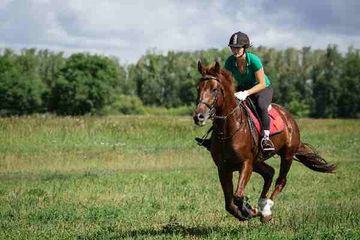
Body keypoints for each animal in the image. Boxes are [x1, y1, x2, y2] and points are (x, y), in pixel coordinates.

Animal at [193, 61, 336, 222]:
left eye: (214, 89)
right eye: (198, 88)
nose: (199, 116)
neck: (229, 128)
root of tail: (288, 117)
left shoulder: (246, 164)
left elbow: (238, 196)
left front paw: (249, 210)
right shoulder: (223, 168)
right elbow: (229, 204)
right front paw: (248, 210)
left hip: (287, 155)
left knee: (281, 180)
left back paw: (266, 210)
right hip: (258, 161)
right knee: (269, 173)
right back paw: (262, 206)